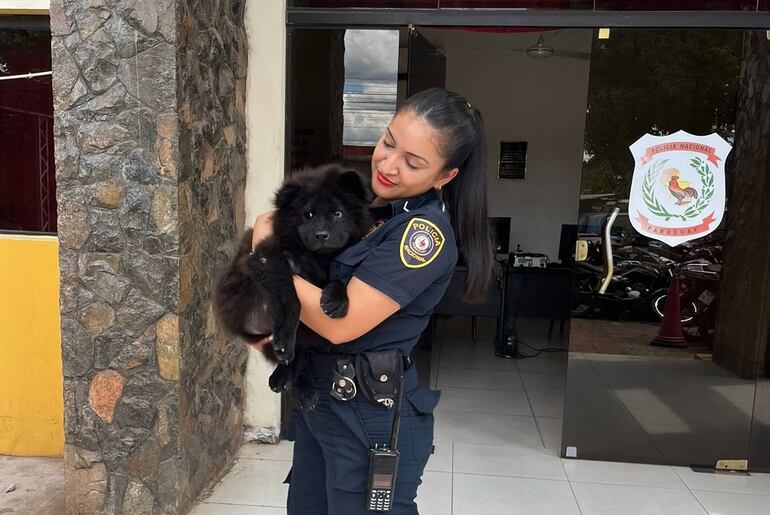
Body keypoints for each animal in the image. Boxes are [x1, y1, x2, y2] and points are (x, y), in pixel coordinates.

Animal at [213, 165, 372, 404]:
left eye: (338, 213)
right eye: (308, 215)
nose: (321, 235)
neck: (317, 257)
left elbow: (339, 279)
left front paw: (336, 299)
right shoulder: (268, 259)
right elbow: (291, 299)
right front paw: (286, 338)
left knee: (303, 355)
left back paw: (299, 385)